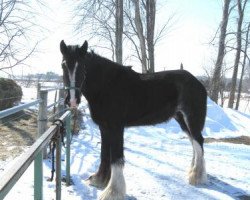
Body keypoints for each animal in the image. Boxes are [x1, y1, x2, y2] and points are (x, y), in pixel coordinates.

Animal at [60, 39, 207, 199]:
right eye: (63, 65)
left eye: (82, 66)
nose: (72, 100)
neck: (106, 85)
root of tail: (198, 83)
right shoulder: (104, 127)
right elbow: (104, 154)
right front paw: (99, 180)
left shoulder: (116, 127)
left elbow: (116, 158)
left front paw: (113, 192)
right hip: (181, 119)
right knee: (194, 142)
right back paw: (192, 171)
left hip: (191, 118)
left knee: (198, 141)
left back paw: (196, 176)